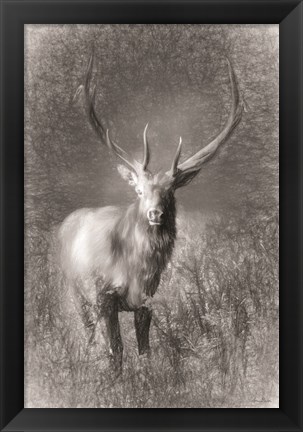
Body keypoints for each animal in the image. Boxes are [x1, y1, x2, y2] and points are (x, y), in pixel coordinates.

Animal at [58, 53, 245, 372]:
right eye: (139, 191)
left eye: (170, 191)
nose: (155, 214)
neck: (136, 269)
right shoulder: (103, 294)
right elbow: (116, 350)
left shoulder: (147, 300)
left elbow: (145, 350)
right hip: (74, 288)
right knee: (87, 330)